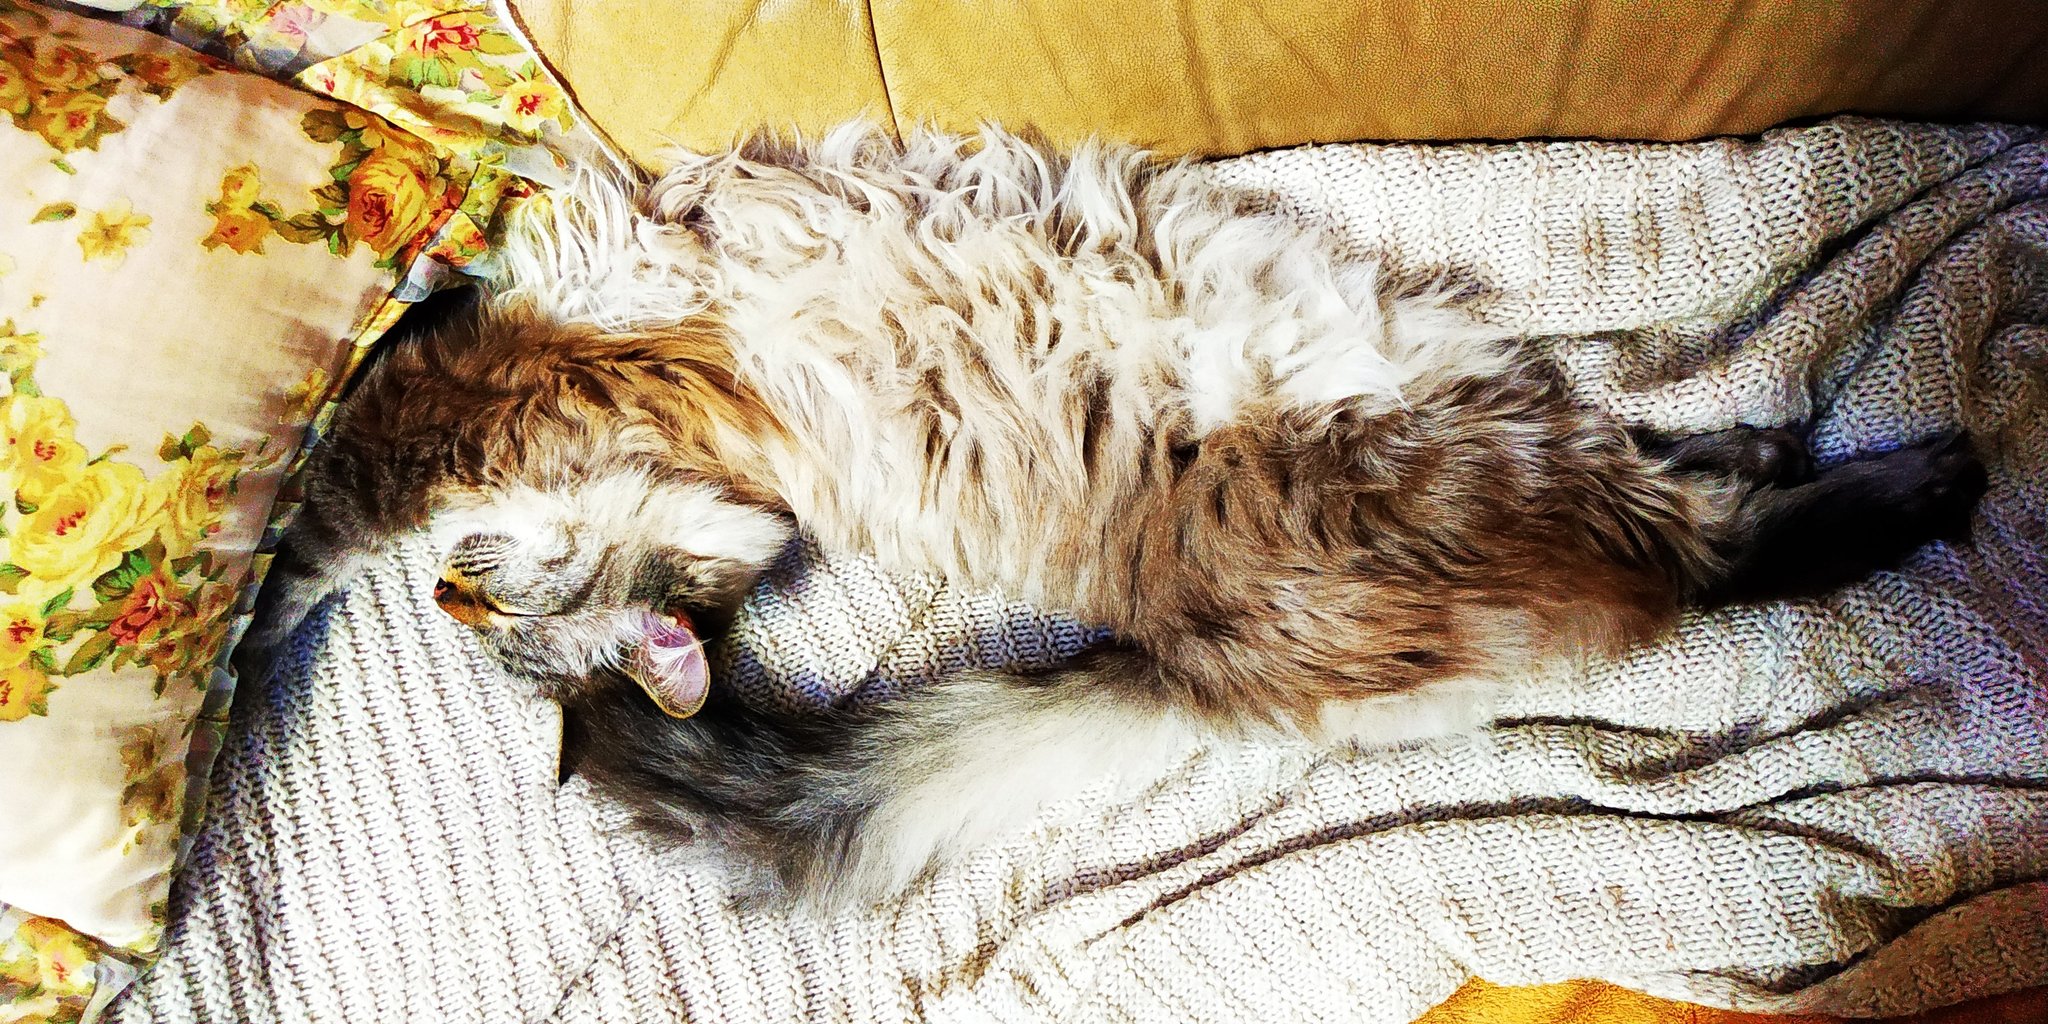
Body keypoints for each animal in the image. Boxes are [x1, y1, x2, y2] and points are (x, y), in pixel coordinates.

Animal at [245, 125, 1986, 909]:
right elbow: (354, 468)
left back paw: (1849, 459)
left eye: (516, 613)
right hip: (1475, 442)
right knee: (1699, 535)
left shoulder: (556, 382)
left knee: (1695, 529)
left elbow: (358, 459)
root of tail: (1206, 667)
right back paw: (1866, 465)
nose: (472, 597)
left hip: (1464, 436)